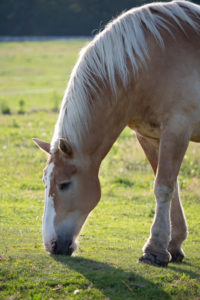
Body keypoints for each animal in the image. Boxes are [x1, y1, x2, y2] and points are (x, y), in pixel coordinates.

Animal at [33, 0, 200, 268]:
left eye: (64, 184)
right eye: (44, 182)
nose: (51, 245)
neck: (150, 61)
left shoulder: (177, 130)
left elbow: (163, 187)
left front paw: (154, 250)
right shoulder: (150, 137)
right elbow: (170, 185)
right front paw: (173, 244)